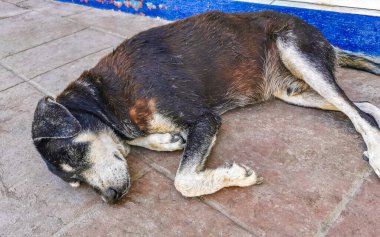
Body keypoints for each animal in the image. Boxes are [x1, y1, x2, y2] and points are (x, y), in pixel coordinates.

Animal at [31, 10, 380, 204]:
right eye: (75, 182)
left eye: (75, 153)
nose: (111, 200)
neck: (105, 97)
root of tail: (324, 38)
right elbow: (135, 141)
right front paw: (164, 141)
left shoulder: (204, 119)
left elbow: (183, 181)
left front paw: (234, 176)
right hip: (292, 91)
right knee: (362, 106)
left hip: (296, 51)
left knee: (359, 113)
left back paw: (375, 153)